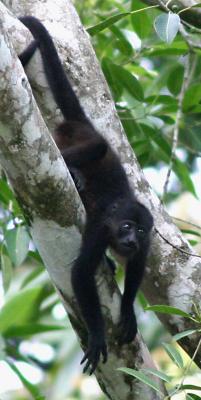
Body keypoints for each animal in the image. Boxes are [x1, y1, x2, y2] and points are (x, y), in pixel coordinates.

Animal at [19, 16, 154, 376]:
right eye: (125, 227)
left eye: (140, 231)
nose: (130, 240)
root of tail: (85, 124)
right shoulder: (100, 229)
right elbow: (80, 273)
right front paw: (96, 335)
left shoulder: (146, 243)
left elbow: (138, 268)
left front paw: (129, 309)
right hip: (76, 137)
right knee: (97, 147)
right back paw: (76, 174)